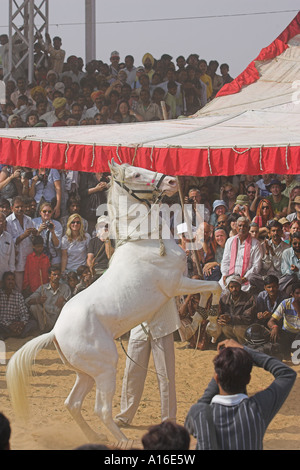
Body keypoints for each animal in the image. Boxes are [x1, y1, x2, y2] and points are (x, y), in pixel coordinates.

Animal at [5, 162, 221, 444]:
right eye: (136, 174)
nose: (173, 181)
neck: (146, 242)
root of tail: (54, 332)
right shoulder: (176, 284)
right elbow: (215, 286)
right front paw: (209, 323)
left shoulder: (180, 284)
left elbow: (209, 290)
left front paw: (199, 321)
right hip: (106, 368)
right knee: (101, 409)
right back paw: (124, 440)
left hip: (86, 373)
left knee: (72, 403)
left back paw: (95, 436)